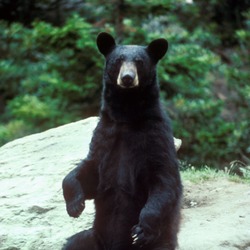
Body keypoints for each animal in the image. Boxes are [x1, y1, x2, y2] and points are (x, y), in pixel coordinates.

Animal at [62, 32, 184, 249]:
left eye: (139, 61)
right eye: (118, 60)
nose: (127, 78)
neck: (127, 116)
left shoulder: (156, 135)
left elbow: (164, 180)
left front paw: (141, 230)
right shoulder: (105, 134)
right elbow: (89, 169)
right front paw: (75, 205)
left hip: (160, 244)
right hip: (94, 237)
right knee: (74, 242)